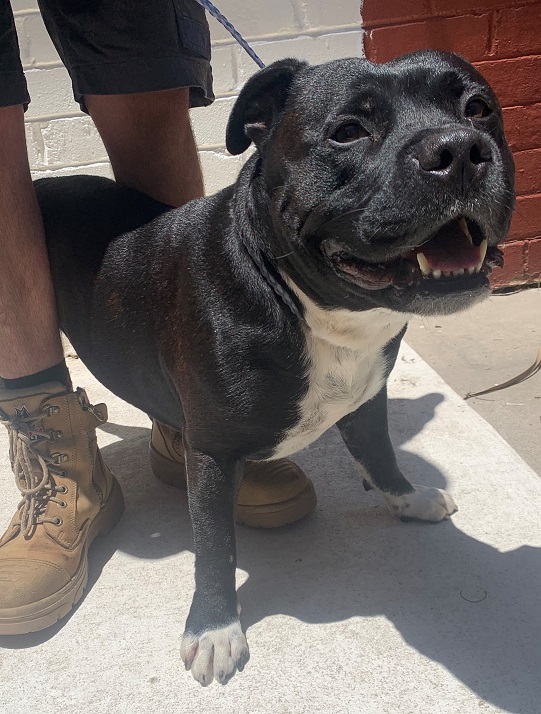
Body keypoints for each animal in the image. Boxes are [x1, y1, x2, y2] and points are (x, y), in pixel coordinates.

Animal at [36, 50, 515, 685]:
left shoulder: (368, 397)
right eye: (347, 131)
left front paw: (407, 499)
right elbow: (215, 546)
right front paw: (214, 629)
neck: (317, 309)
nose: (459, 149)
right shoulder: (213, 451)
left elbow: (381, 453)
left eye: (479, 108)